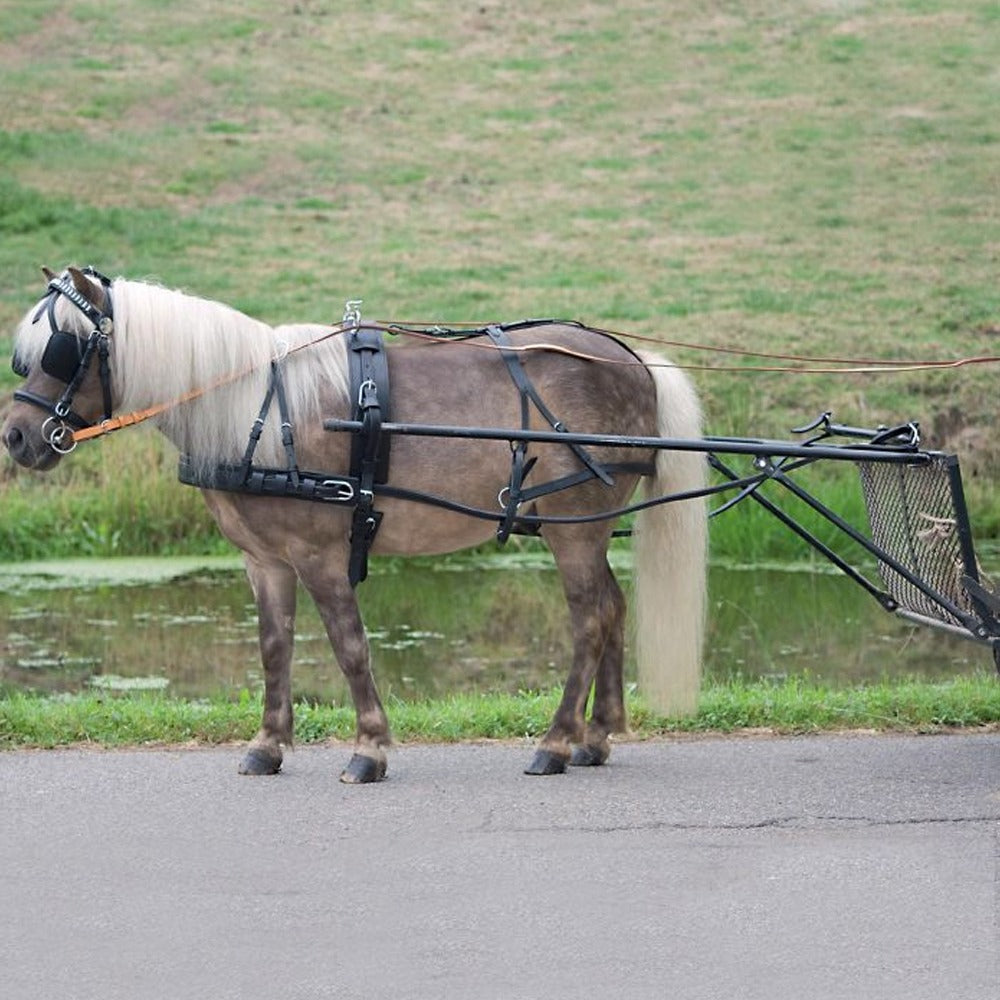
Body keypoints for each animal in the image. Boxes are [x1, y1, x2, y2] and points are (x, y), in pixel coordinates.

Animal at [2, 266, 707, 781]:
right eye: (25, 357)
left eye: (62, 350)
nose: (15, 437)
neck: (261, 411)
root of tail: (631, 358)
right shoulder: (265, 560)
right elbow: (274, 647)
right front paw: (267, 745)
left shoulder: (318, 553)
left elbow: (349, 645)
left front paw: (369, 748)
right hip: (586, 527)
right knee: (613, 609)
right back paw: (597, 736)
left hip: (573, 527)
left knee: (590, 620)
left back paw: (556, 742)